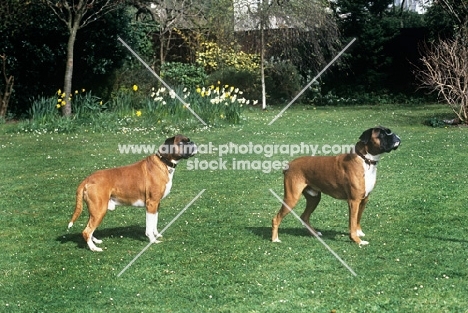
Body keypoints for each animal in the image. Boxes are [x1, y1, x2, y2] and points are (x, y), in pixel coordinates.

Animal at [67, 134, 196, 251]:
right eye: (181, 143)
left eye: (188, 140)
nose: (193, 143)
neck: (163, 162)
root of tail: (87, 179)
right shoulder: (151, 204)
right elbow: (149, 226)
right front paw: (152, 240)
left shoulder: (156, 204)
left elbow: (154, 222)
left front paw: (157, 234)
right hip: (99, 210)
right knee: (86, 231)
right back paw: (94, 248)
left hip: (95, 210)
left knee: (89, 227)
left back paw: (95, 241)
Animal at [272, 125, 400, 245]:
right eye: (382, 134)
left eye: (389, 131)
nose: (396, 136)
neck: (365, 160)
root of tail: (289, 165)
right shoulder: (354, 201)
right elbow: (352, 221)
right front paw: (357, 240)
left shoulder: (364, 199)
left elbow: (357, 219)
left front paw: (359, 233)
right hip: (292, 198)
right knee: (276, 218)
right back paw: (275, 239)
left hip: (314, 198)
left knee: (304, 217)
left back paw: (315, 233)